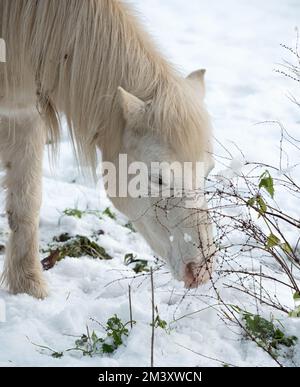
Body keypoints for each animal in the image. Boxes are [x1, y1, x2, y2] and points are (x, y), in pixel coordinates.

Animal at [0, 0, 216, 300]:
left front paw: (29, 287)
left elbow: (26, 204)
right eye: (158, 178)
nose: (200, 270)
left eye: (208, 172)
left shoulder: (24, 117)